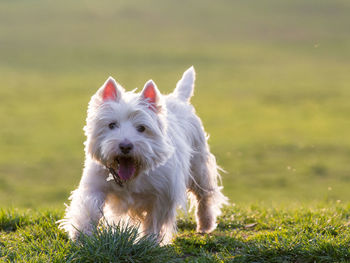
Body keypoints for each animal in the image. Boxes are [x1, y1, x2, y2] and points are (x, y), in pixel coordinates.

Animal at [58, 67, 227, 244]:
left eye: (141, 128)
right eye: (112, 125)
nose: (125, 146)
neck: (132, 177)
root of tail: (178, 98)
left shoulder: (162, 196)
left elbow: (154, 221)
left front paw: (149, 242)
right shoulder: (96, 185)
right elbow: (89, 209)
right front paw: (82, 235)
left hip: (199, 166)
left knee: (204, 195)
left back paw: (205, 224)